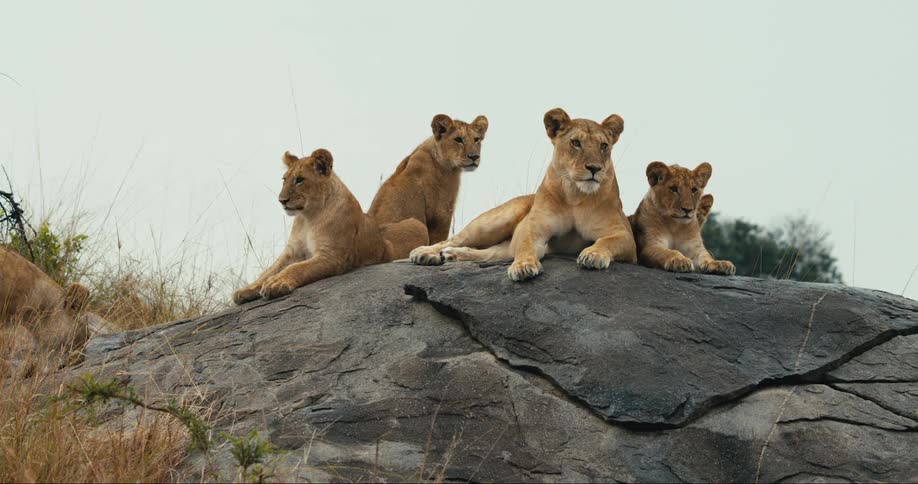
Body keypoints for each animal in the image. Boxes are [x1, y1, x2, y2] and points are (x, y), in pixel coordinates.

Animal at [233, 149, 428, 304]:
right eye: (284, 179)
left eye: (299, 180)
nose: (282, 200)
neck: (308, 217)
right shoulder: (292, 251)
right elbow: (268, 271)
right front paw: (246, 290)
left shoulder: (332, 256)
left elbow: (297, 268)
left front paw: (276, 283)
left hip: (416, 223)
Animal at [409, 108, 636, 281]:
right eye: (576, 143)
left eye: (603, 146)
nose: (594, 168)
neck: (575, 196)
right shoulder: (532, 228)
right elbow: (526, 246)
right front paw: (524, 267)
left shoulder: (624, 234)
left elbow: (607, 241)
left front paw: (593, 254)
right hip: (494, 221)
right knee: (454, 239)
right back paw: (425, 253)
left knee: (490, 253)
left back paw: (452, 256)